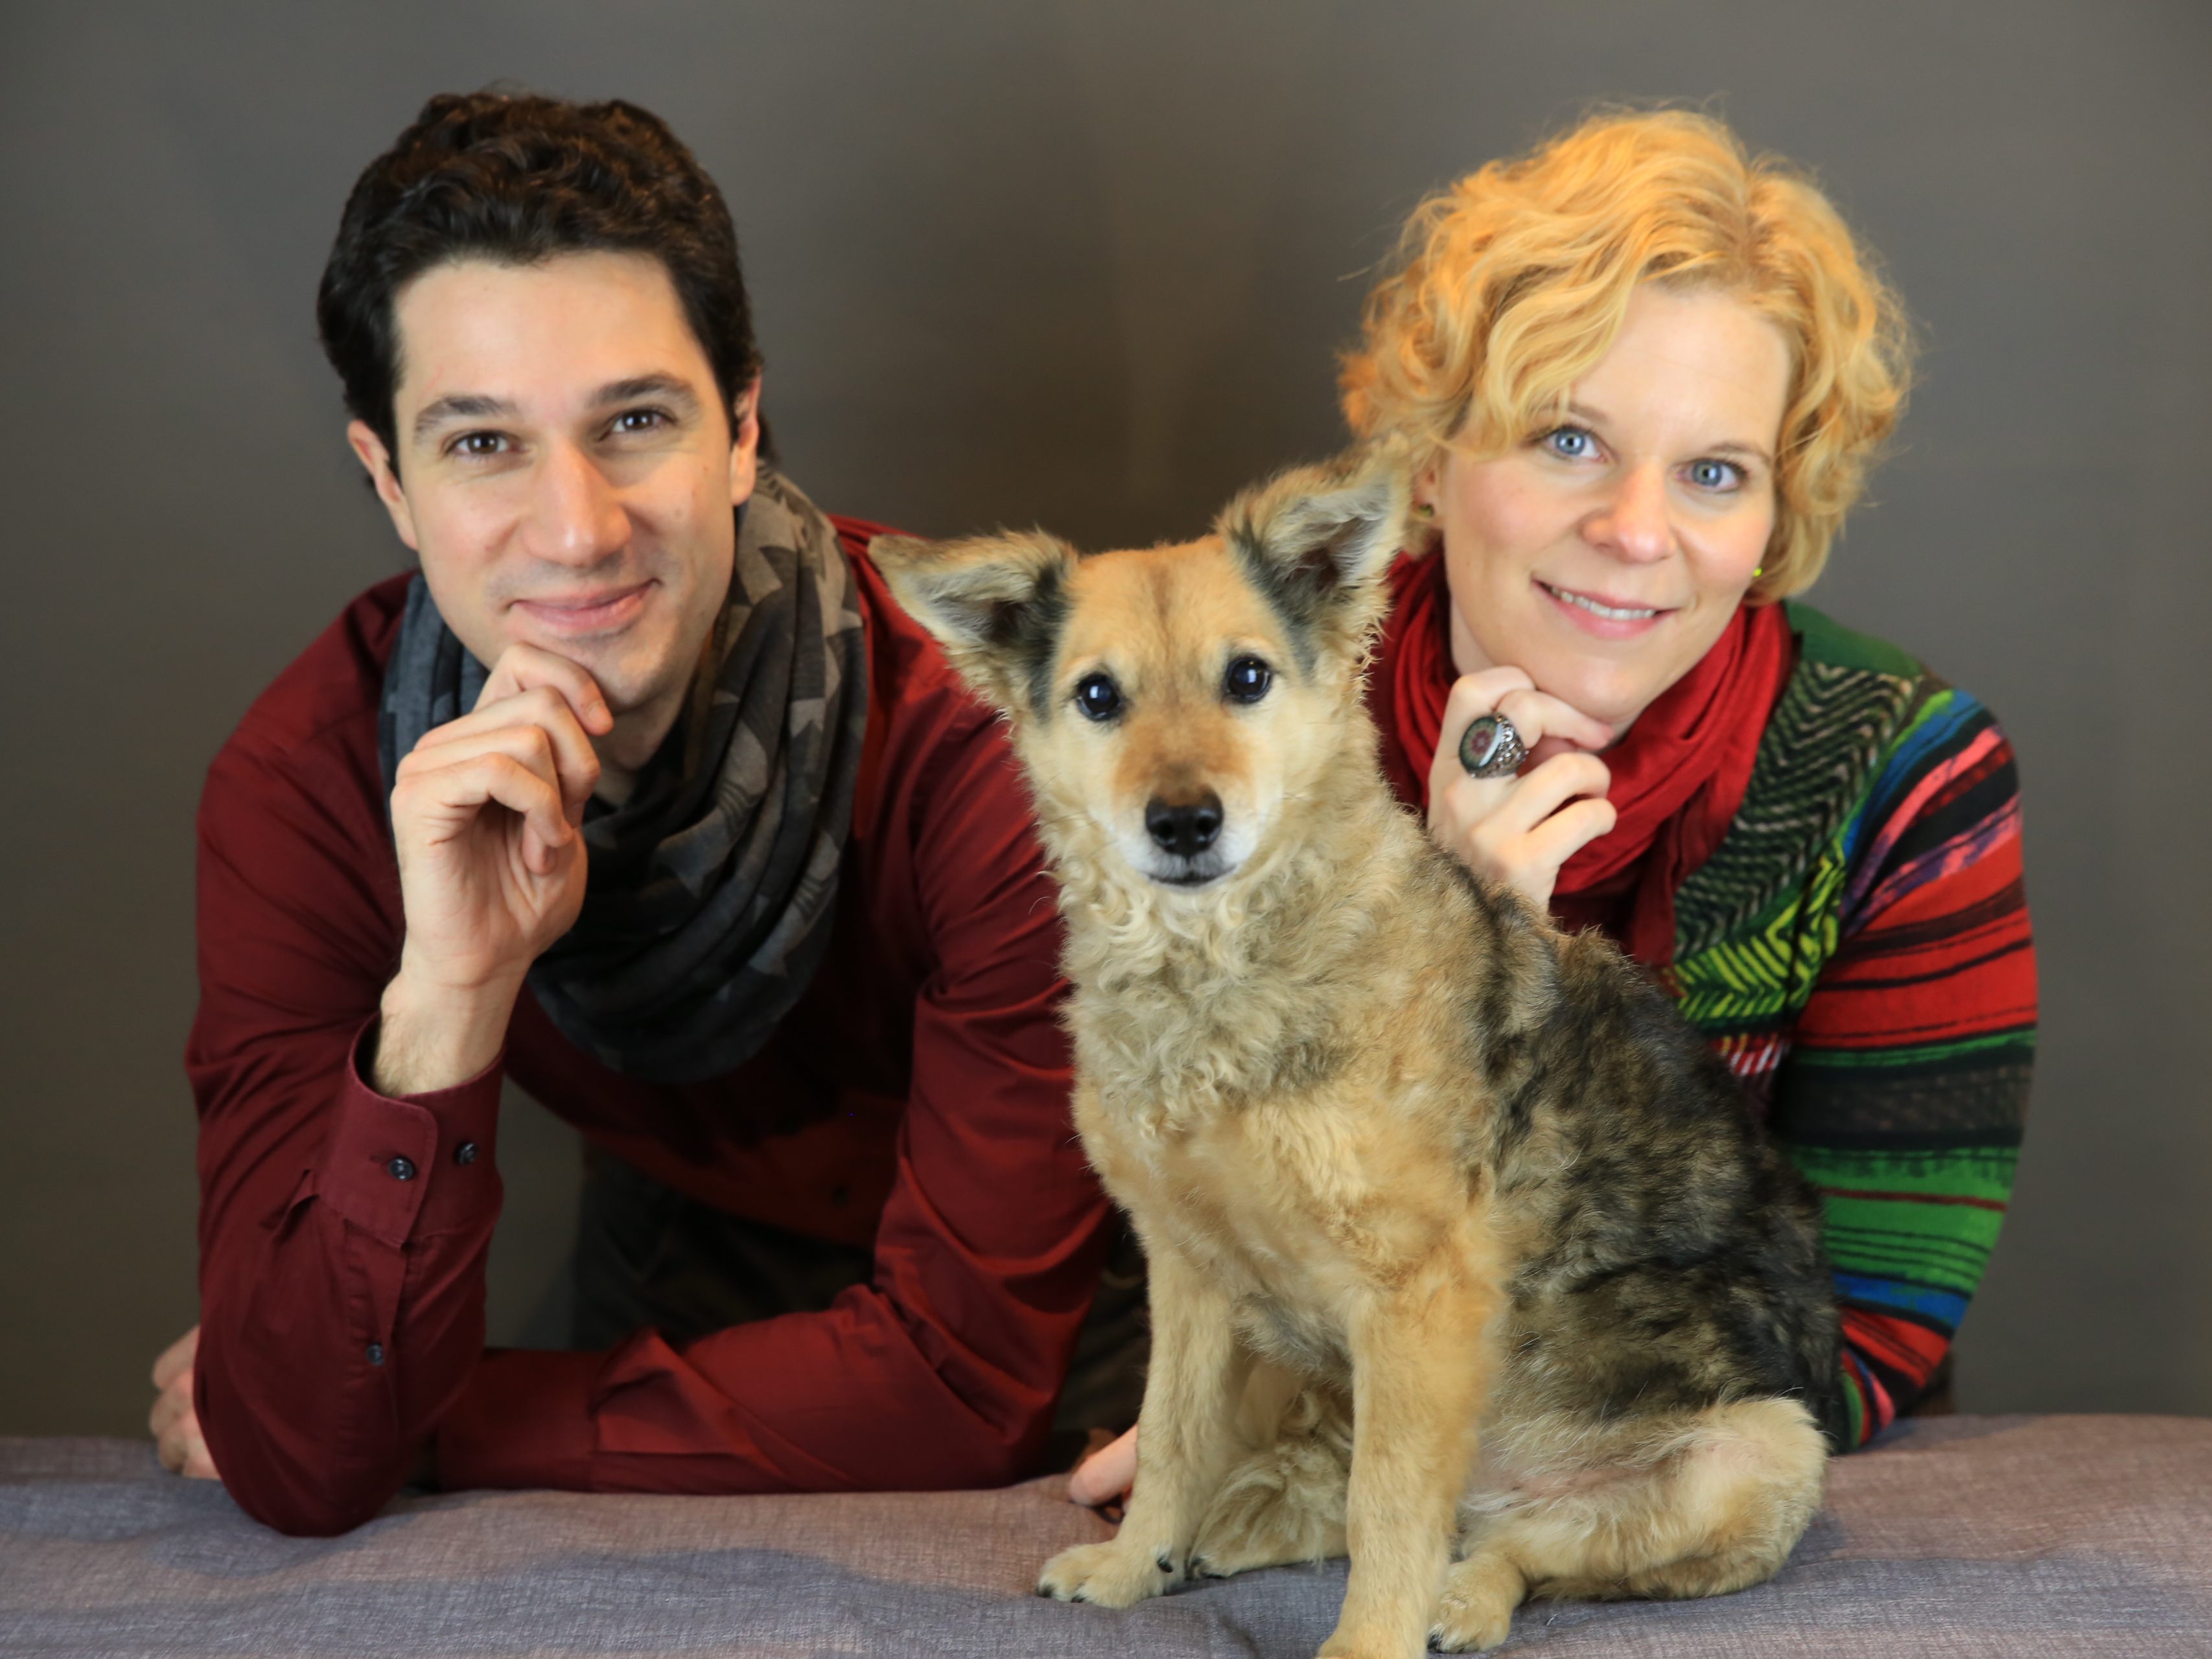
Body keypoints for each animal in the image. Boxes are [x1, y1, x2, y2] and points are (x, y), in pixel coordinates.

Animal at [871, 458, 1840, 1659]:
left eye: (1246, 678)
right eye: (1098, 698)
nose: (1182, 822)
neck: (1220, 974)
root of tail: (1507, 1491)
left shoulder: (1418, 1298)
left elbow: (1391, 1505)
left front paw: (1370, 1640)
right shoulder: (1188, 1276)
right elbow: (1169, 1438)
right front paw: (1132, 1567)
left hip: (1765, 1453)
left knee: (1531, 1553)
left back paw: (1460, 1600)